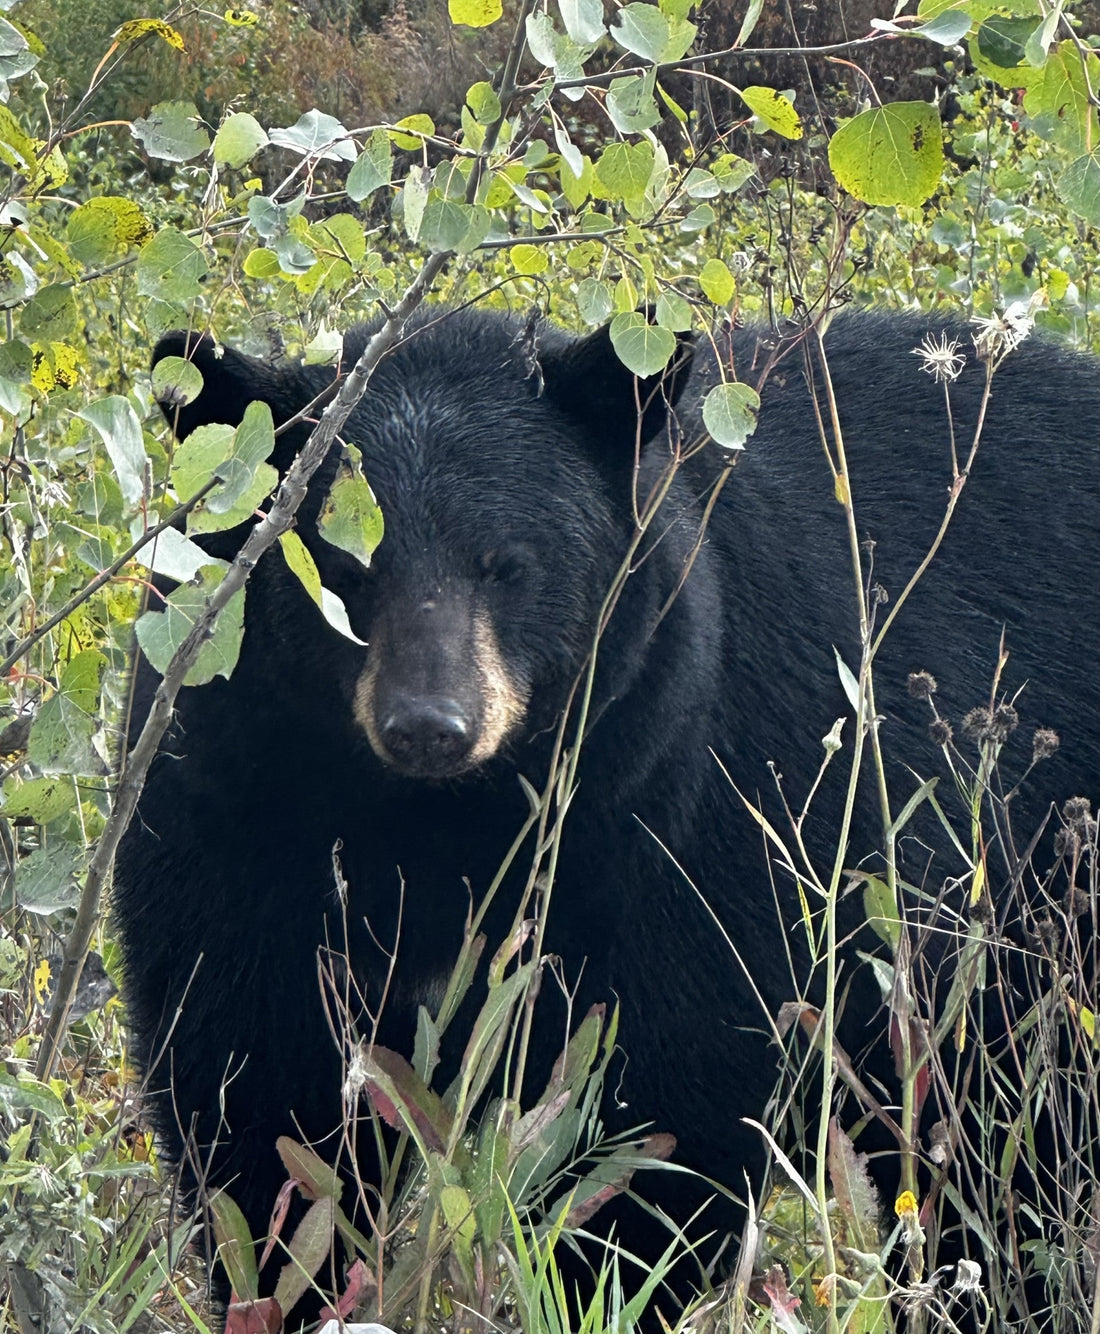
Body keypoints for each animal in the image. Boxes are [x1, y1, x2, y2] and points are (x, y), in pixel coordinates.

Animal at [113, 305, 1099, 1327]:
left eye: (505, 565)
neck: (437, 824)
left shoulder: (681, 813)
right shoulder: (237, 809)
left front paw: (596, 1287)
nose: (428, 724)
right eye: (345, 564)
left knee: (1012, 1147)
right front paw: (295, 1287)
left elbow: (650, 1117)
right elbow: (259, 1093)